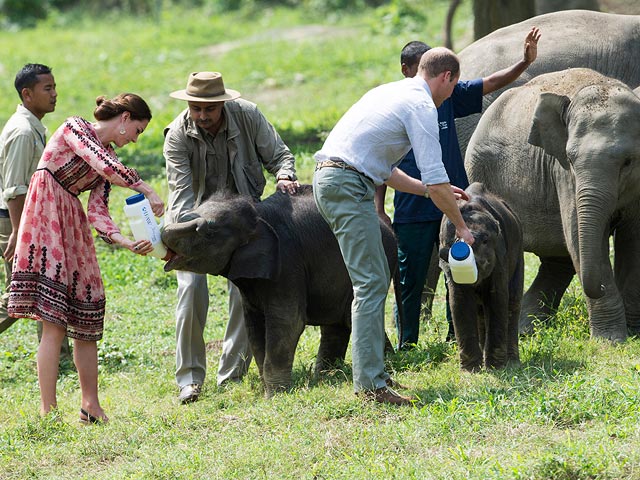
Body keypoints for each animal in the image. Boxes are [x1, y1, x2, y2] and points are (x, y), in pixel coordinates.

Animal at [162, 184, 398, 398]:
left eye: (209, 233)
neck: (258, 214)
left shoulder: (287, 262)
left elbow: (288, 322)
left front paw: (274, 394)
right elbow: (254, 325)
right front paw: (269, 389)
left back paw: (386, 362)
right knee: (336, 323)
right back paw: (326, 375)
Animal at [440, 182, 524, 374]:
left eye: (486, 240)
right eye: (455, 240)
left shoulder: (500, 254)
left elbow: (497, 297)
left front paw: (495, 368)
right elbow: (459, 300)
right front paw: (472, 370)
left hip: (518, 253)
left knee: (512, 301)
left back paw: (512, 362)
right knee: (480, 311)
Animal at [464, 69, 640, 344]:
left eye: (628, 161)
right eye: (570, 158)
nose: (601, 286)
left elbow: (633, 236)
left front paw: (632, 332)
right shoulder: (564, 174)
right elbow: (577, 234)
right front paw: (611, 341)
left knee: (558, 259)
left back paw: (527, 328)